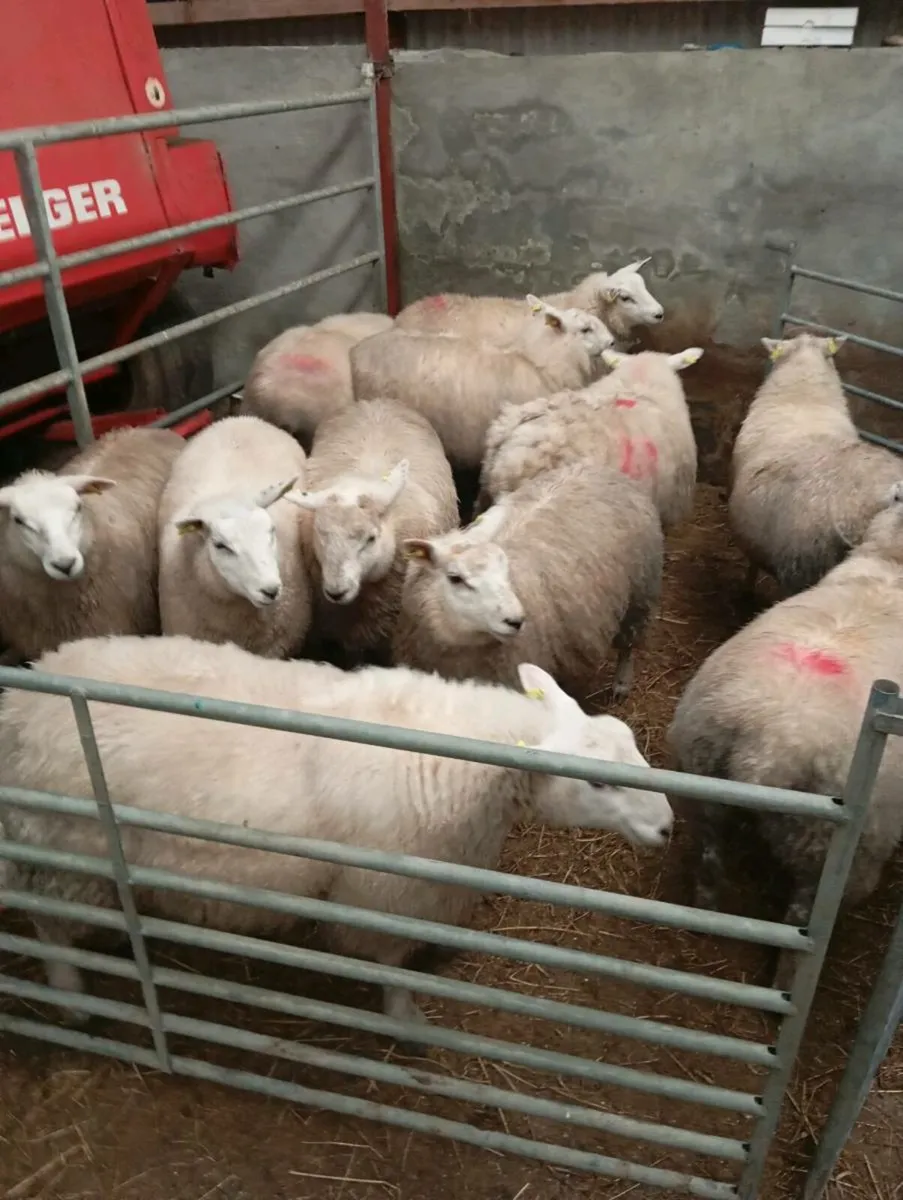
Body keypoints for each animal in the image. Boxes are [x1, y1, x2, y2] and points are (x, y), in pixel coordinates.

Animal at [0, 633, 675, 1035]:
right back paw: (73, 998)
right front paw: (406, 1021)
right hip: (63, 849)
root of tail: (21, 707)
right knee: (51, 927)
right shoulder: (384, 894)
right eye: (598, 784)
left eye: (631, 743)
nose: (669, 825)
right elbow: (394, 969)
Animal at [393, 462, 663, 704]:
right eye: (455, 578)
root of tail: (601, 469)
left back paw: (622, 683)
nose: (516, 620)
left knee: (628, 645)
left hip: (640, 594)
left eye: (506, 573)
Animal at [668, 483, 903, 986]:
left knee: (710, 859)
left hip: (704, 785)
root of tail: (767, 748)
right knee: (801, 927)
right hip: (829, 849)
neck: (891, 568)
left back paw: (704, 914)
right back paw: (785, 984)